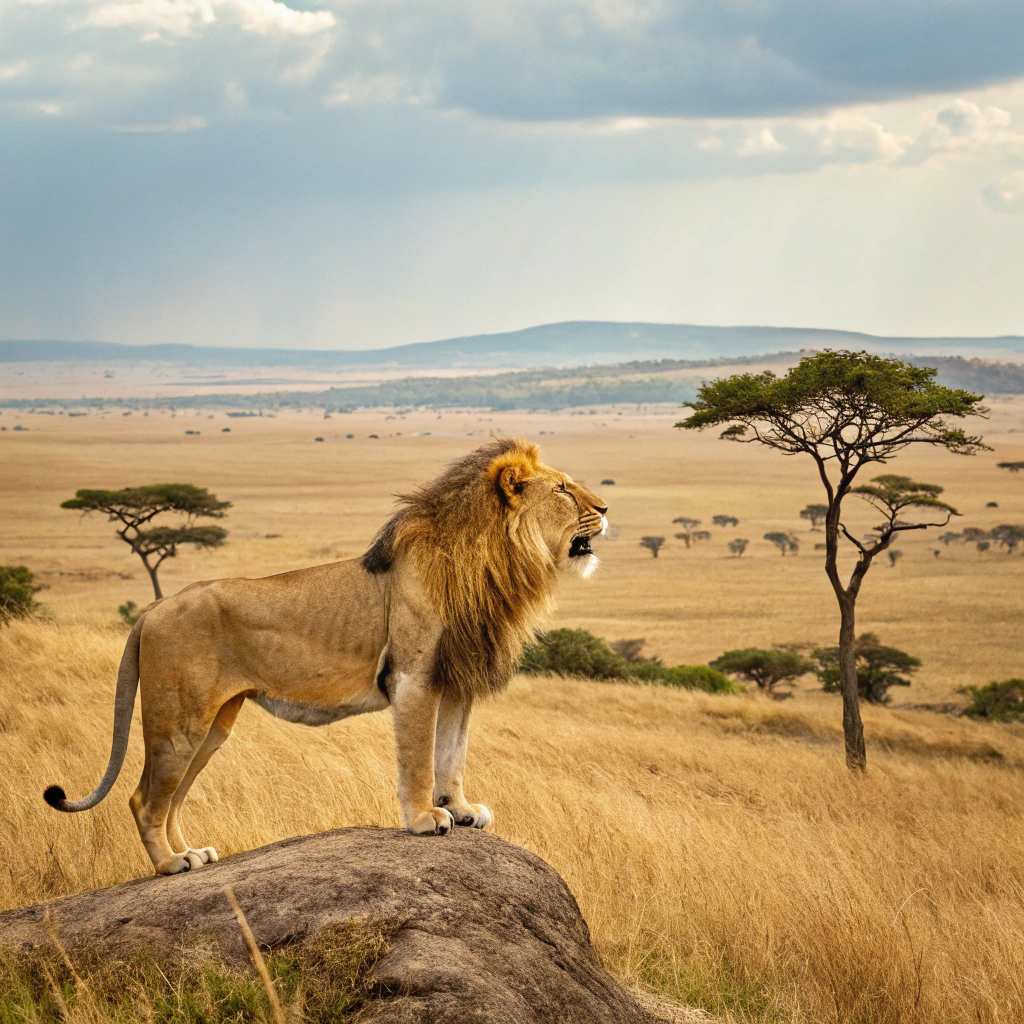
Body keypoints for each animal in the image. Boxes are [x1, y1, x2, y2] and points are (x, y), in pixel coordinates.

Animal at [44, 437, 608, 875]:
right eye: (562, 489)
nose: (605, 510)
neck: (494, 561)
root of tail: (153, 609)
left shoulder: (457, 680)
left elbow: (453, 754)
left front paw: (463, 810)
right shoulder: (414, 677)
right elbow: (419, 760)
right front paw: (425, 819)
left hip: (213, 725)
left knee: (173, 797)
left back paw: (193, 855)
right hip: (179, 718)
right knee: (145, 798)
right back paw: (169, 864)